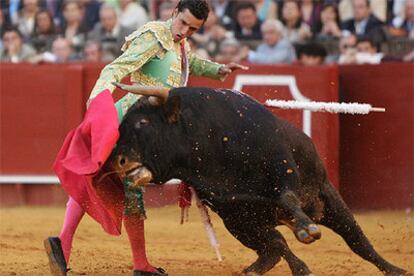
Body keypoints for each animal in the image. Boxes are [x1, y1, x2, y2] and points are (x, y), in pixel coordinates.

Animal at [108, 87, 406, 274]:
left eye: (143, 123)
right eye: (121, 126)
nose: (116, 160)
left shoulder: (283, 171)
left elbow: (287, 199)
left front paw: (307, 231)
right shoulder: (236, 215)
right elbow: (277, 244)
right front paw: (301, 266)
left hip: (327, 198)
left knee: (357, 240)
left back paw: (395, 270)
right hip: (244, 226)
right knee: (274, 246)